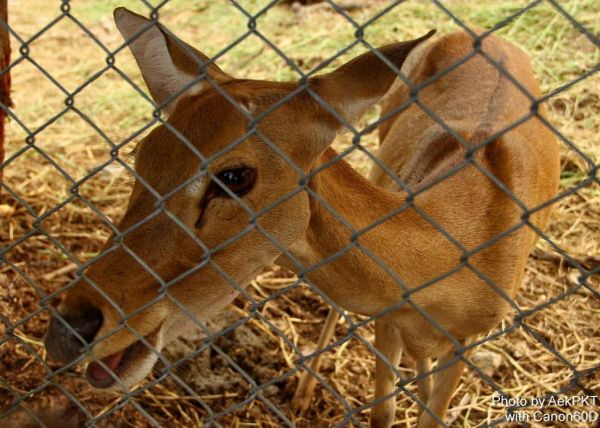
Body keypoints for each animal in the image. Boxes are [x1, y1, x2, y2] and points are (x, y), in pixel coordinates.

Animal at [43, 7, 559, 428]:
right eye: (143, 154)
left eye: (235, 176)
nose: (68, 329)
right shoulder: (390, 320)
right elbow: (384, 410)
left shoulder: (468, 339)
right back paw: (304, 391)